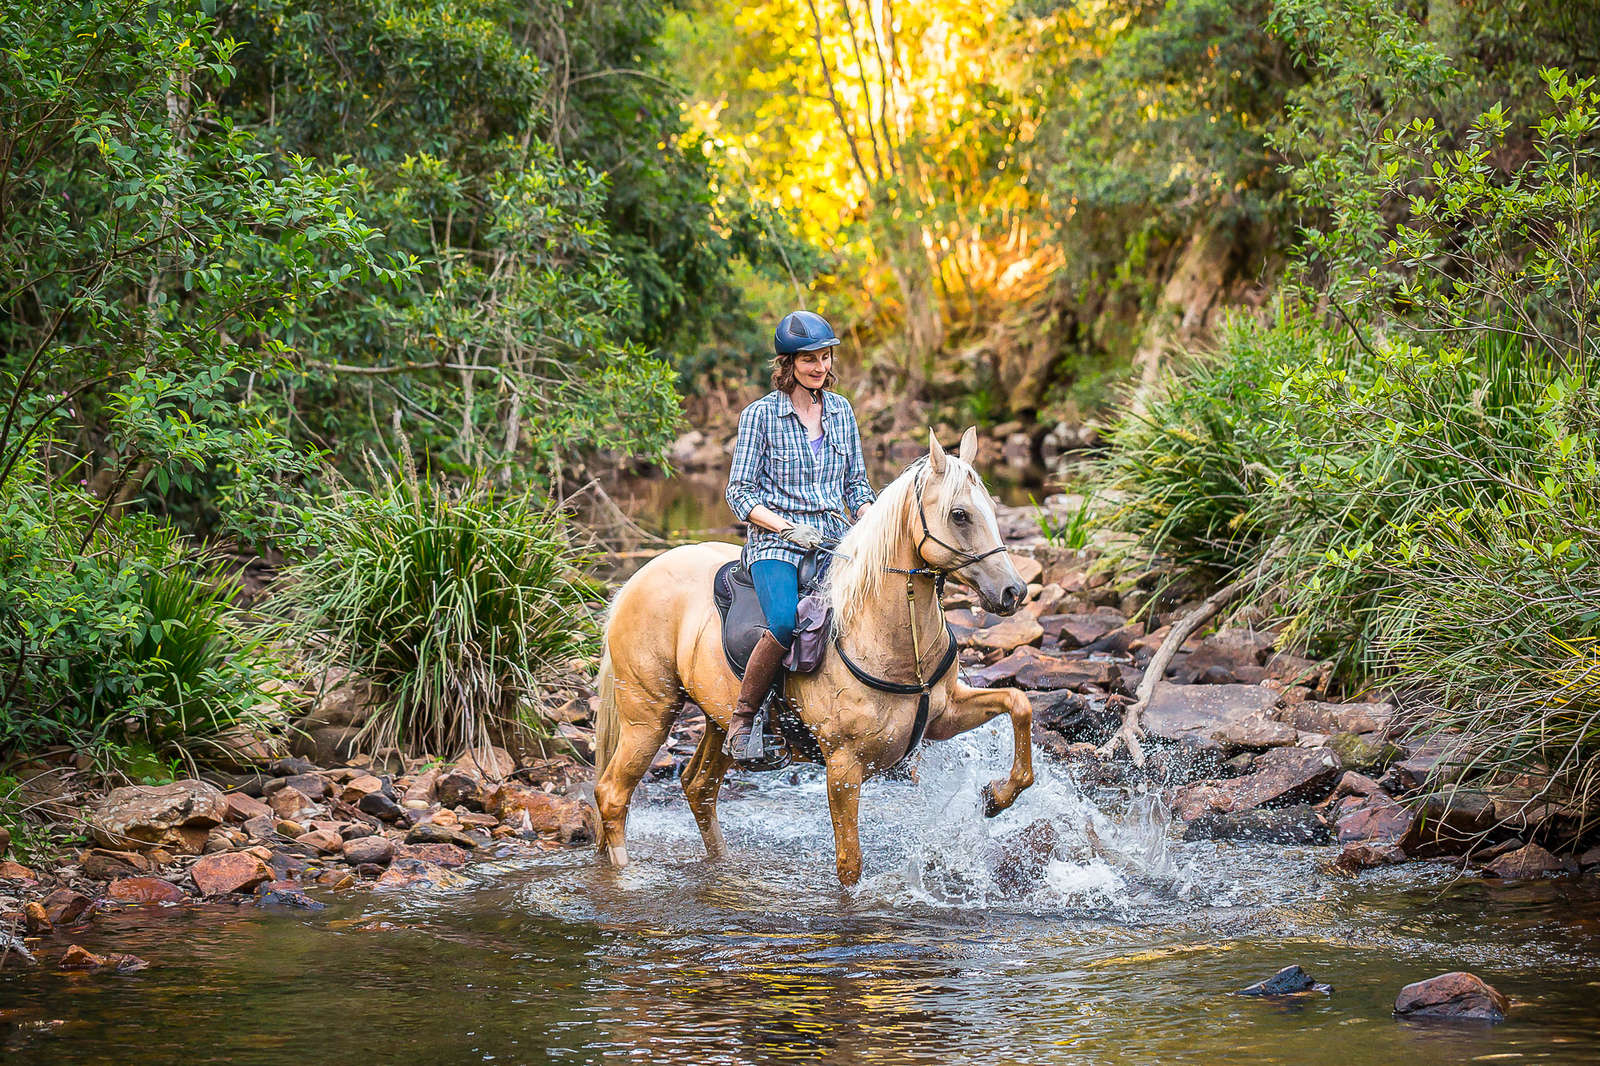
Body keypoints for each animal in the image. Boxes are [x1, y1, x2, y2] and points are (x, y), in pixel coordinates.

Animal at [595, 428, 1030, 883]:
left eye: (991, 510)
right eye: (960, 515)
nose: (1014, 592)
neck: (888, 639)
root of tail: (634, 581)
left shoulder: (945, 716)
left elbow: (1019, 702)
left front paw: (997, 796)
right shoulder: (843, 766)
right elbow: (849, 866)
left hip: (717, 718)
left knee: (699, 788)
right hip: (648, 715)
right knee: (612, 794)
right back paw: (625, 877)